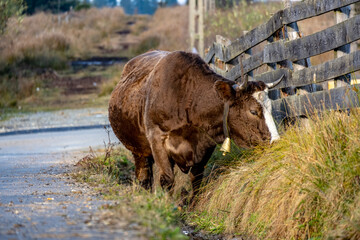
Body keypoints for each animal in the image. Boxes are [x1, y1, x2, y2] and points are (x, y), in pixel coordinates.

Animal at [108, 50, 282, 197]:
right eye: (253, 111)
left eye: (271, 107)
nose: (276, 141)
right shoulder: (157, 139)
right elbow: (167, 180)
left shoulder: (206, 145)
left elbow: (196, 182)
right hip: (138, 150)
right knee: (144, 177)